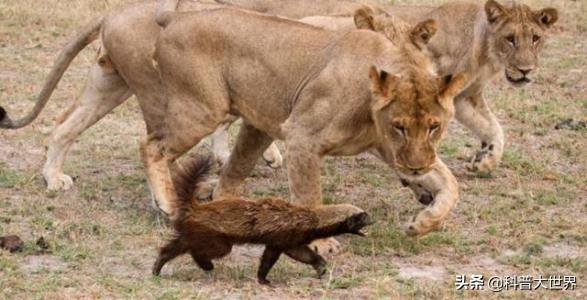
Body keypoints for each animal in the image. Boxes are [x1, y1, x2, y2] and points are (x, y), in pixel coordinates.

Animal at [147, 5, 468, 246]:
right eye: (399, 126)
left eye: (434, 127)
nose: (415, 169)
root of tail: (176, 17)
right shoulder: (302, 136)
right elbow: (309, 197)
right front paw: (321, 244)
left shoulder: (393, 150)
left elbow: (449, 182)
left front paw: (424, 223)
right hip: (202, 110)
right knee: (152, 146)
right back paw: (168, 203)